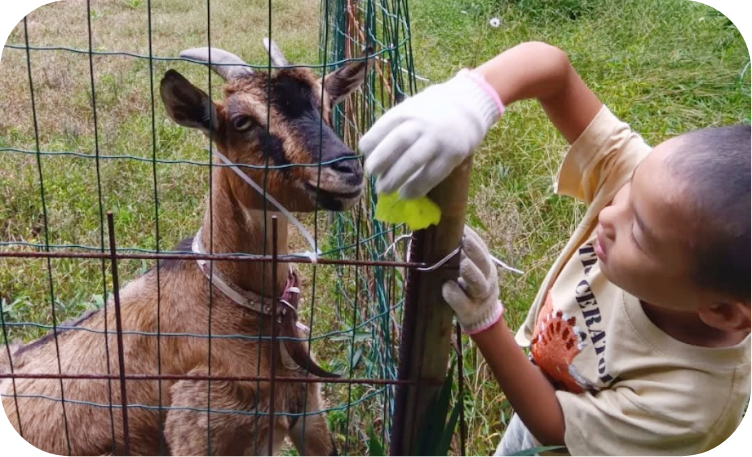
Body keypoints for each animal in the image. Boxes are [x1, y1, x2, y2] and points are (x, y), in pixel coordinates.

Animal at [0, 40, 370, 456]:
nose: (348, 170)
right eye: (242, 121)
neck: (234, 303)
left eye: (327, 104)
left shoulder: (309, 412)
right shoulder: (197, 431)